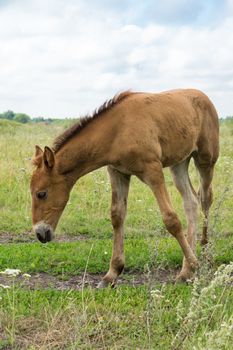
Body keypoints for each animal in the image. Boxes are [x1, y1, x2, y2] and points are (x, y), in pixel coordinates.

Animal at [30, 89, 218, 286]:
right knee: (191, 202)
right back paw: (185, 270)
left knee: (205, 197)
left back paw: (204, 253)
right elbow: (117, 216)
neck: (117, 131)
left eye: (41, 193)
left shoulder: (153, 170)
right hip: (179, 163)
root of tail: (203, 96)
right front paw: (112, 273)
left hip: (206, 159)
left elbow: (171, 219)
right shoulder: (117, 172)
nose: (40, 233)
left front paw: (195, 265)